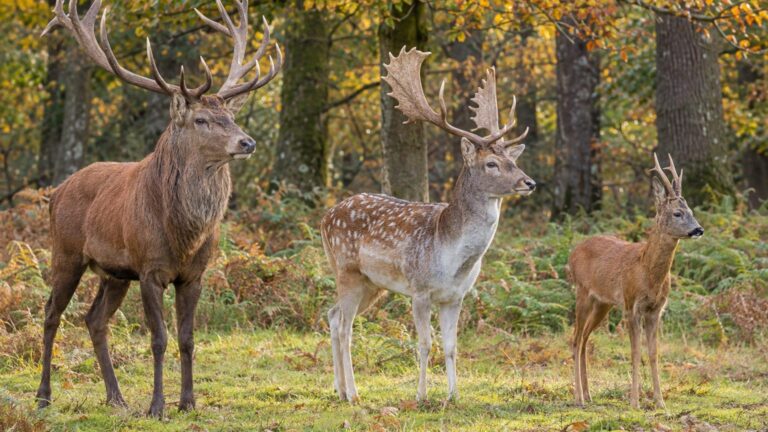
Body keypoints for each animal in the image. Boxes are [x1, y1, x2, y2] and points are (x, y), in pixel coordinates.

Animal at [35, 0, 282, 417]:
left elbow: (187, 338)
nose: (247, 142)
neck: (183, 235)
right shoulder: (149, 269)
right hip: (66, 253)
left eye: (231, 117)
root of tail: (57, 191)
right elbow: (159, 339)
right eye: (201, 119)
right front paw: (156, 407)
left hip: (114, 273)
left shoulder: (194, 275)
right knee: (52, 313)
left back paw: (116, 397)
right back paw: (43, 396)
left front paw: (188, 402)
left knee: (94, 319)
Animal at [321, 47, 535, 403]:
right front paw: (421, 396)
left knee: (332, 314)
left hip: (372, 284)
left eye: (512, 160)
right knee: (344, 325)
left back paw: (339, 389)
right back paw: (352, 393)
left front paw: (453, 396)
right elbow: (424, 343)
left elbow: (451, 346)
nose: (529, 182)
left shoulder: (456, 297)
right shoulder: (419, 290)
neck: (451, 257)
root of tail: (326, 217)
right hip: (346, 270)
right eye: (491, 164)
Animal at [568, 153, 704, 409]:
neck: (647, 274)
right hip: (582, 292)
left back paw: (589, 395)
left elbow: (653, 353)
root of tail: (573, 251)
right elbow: (635, 352)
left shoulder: (656, 310)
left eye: (691, 210)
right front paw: (635, 402)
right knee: (576, 339)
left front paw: (660, 402)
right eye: (677, 213)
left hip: (603, 303)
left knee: (585, 340)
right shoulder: (632, 306)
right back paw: (579, 398)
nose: (698, 229)